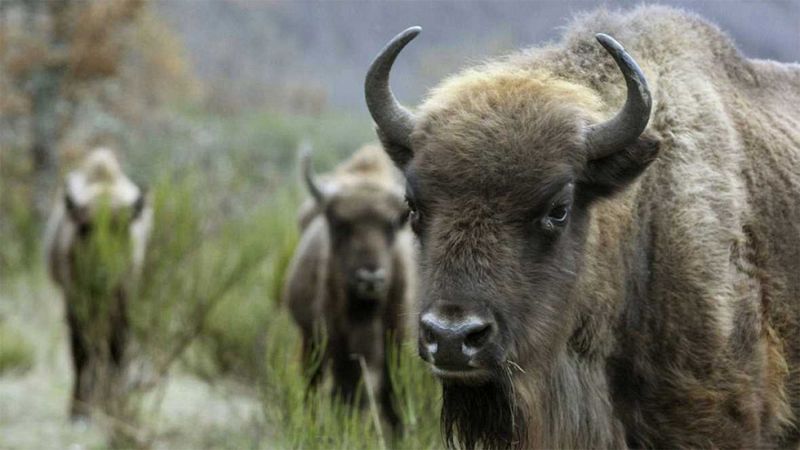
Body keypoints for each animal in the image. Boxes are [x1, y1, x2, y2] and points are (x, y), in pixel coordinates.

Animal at [282, 143, 418, 428]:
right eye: (340, 224)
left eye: (392, 225)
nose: (370, 279)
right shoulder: (337, 346)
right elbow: (346, 392)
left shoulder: (396, 345)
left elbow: (392, 396)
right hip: (309, 340)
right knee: (313, 384)